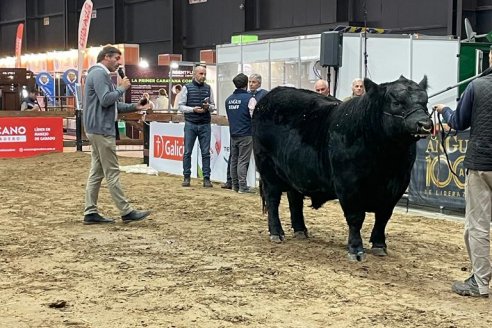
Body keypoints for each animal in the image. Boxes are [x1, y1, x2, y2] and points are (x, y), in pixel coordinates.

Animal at [252, 77, 432, 262]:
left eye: (425, 101)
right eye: (396, 102)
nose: (425, 124)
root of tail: (270, 97)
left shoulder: (397, 186)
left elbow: (383, 217)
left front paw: (379, 245)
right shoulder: (348, 185)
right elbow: (356, 218)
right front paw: (356, 249)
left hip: (294, 171)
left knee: (295, 199)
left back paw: (300, 230)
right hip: (267, 170)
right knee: (273, 200)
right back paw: (276, 233)